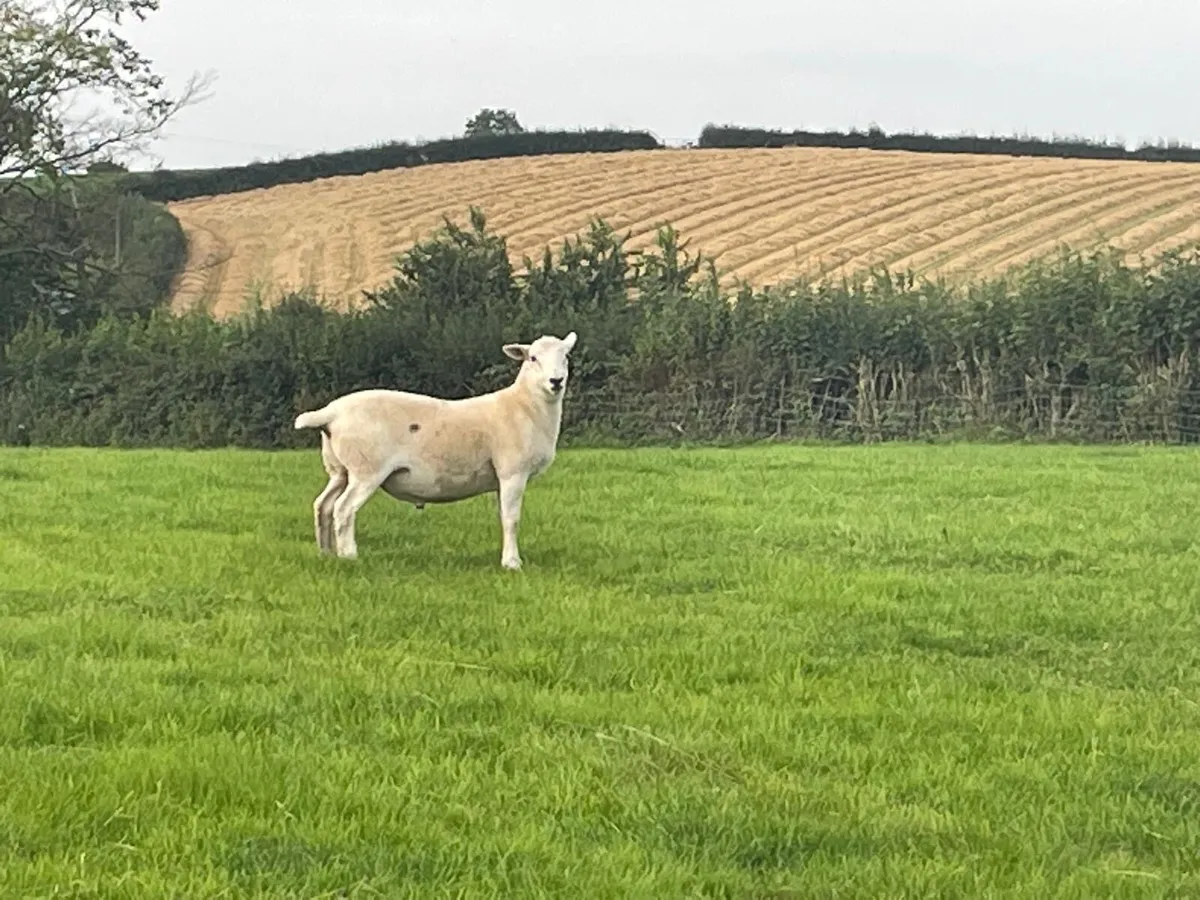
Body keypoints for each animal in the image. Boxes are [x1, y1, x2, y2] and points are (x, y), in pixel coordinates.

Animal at [293, 331, 578, 569]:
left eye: (566, 356)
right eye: (533, 358)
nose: (556, 381)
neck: (525, 407)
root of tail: (330, 413)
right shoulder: (512, 472)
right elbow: (511, 518)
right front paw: (511, 563)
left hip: (339, 469)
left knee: (323, 505)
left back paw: (326, 554)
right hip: (366, 468)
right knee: (344, 508)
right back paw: (349, 556)